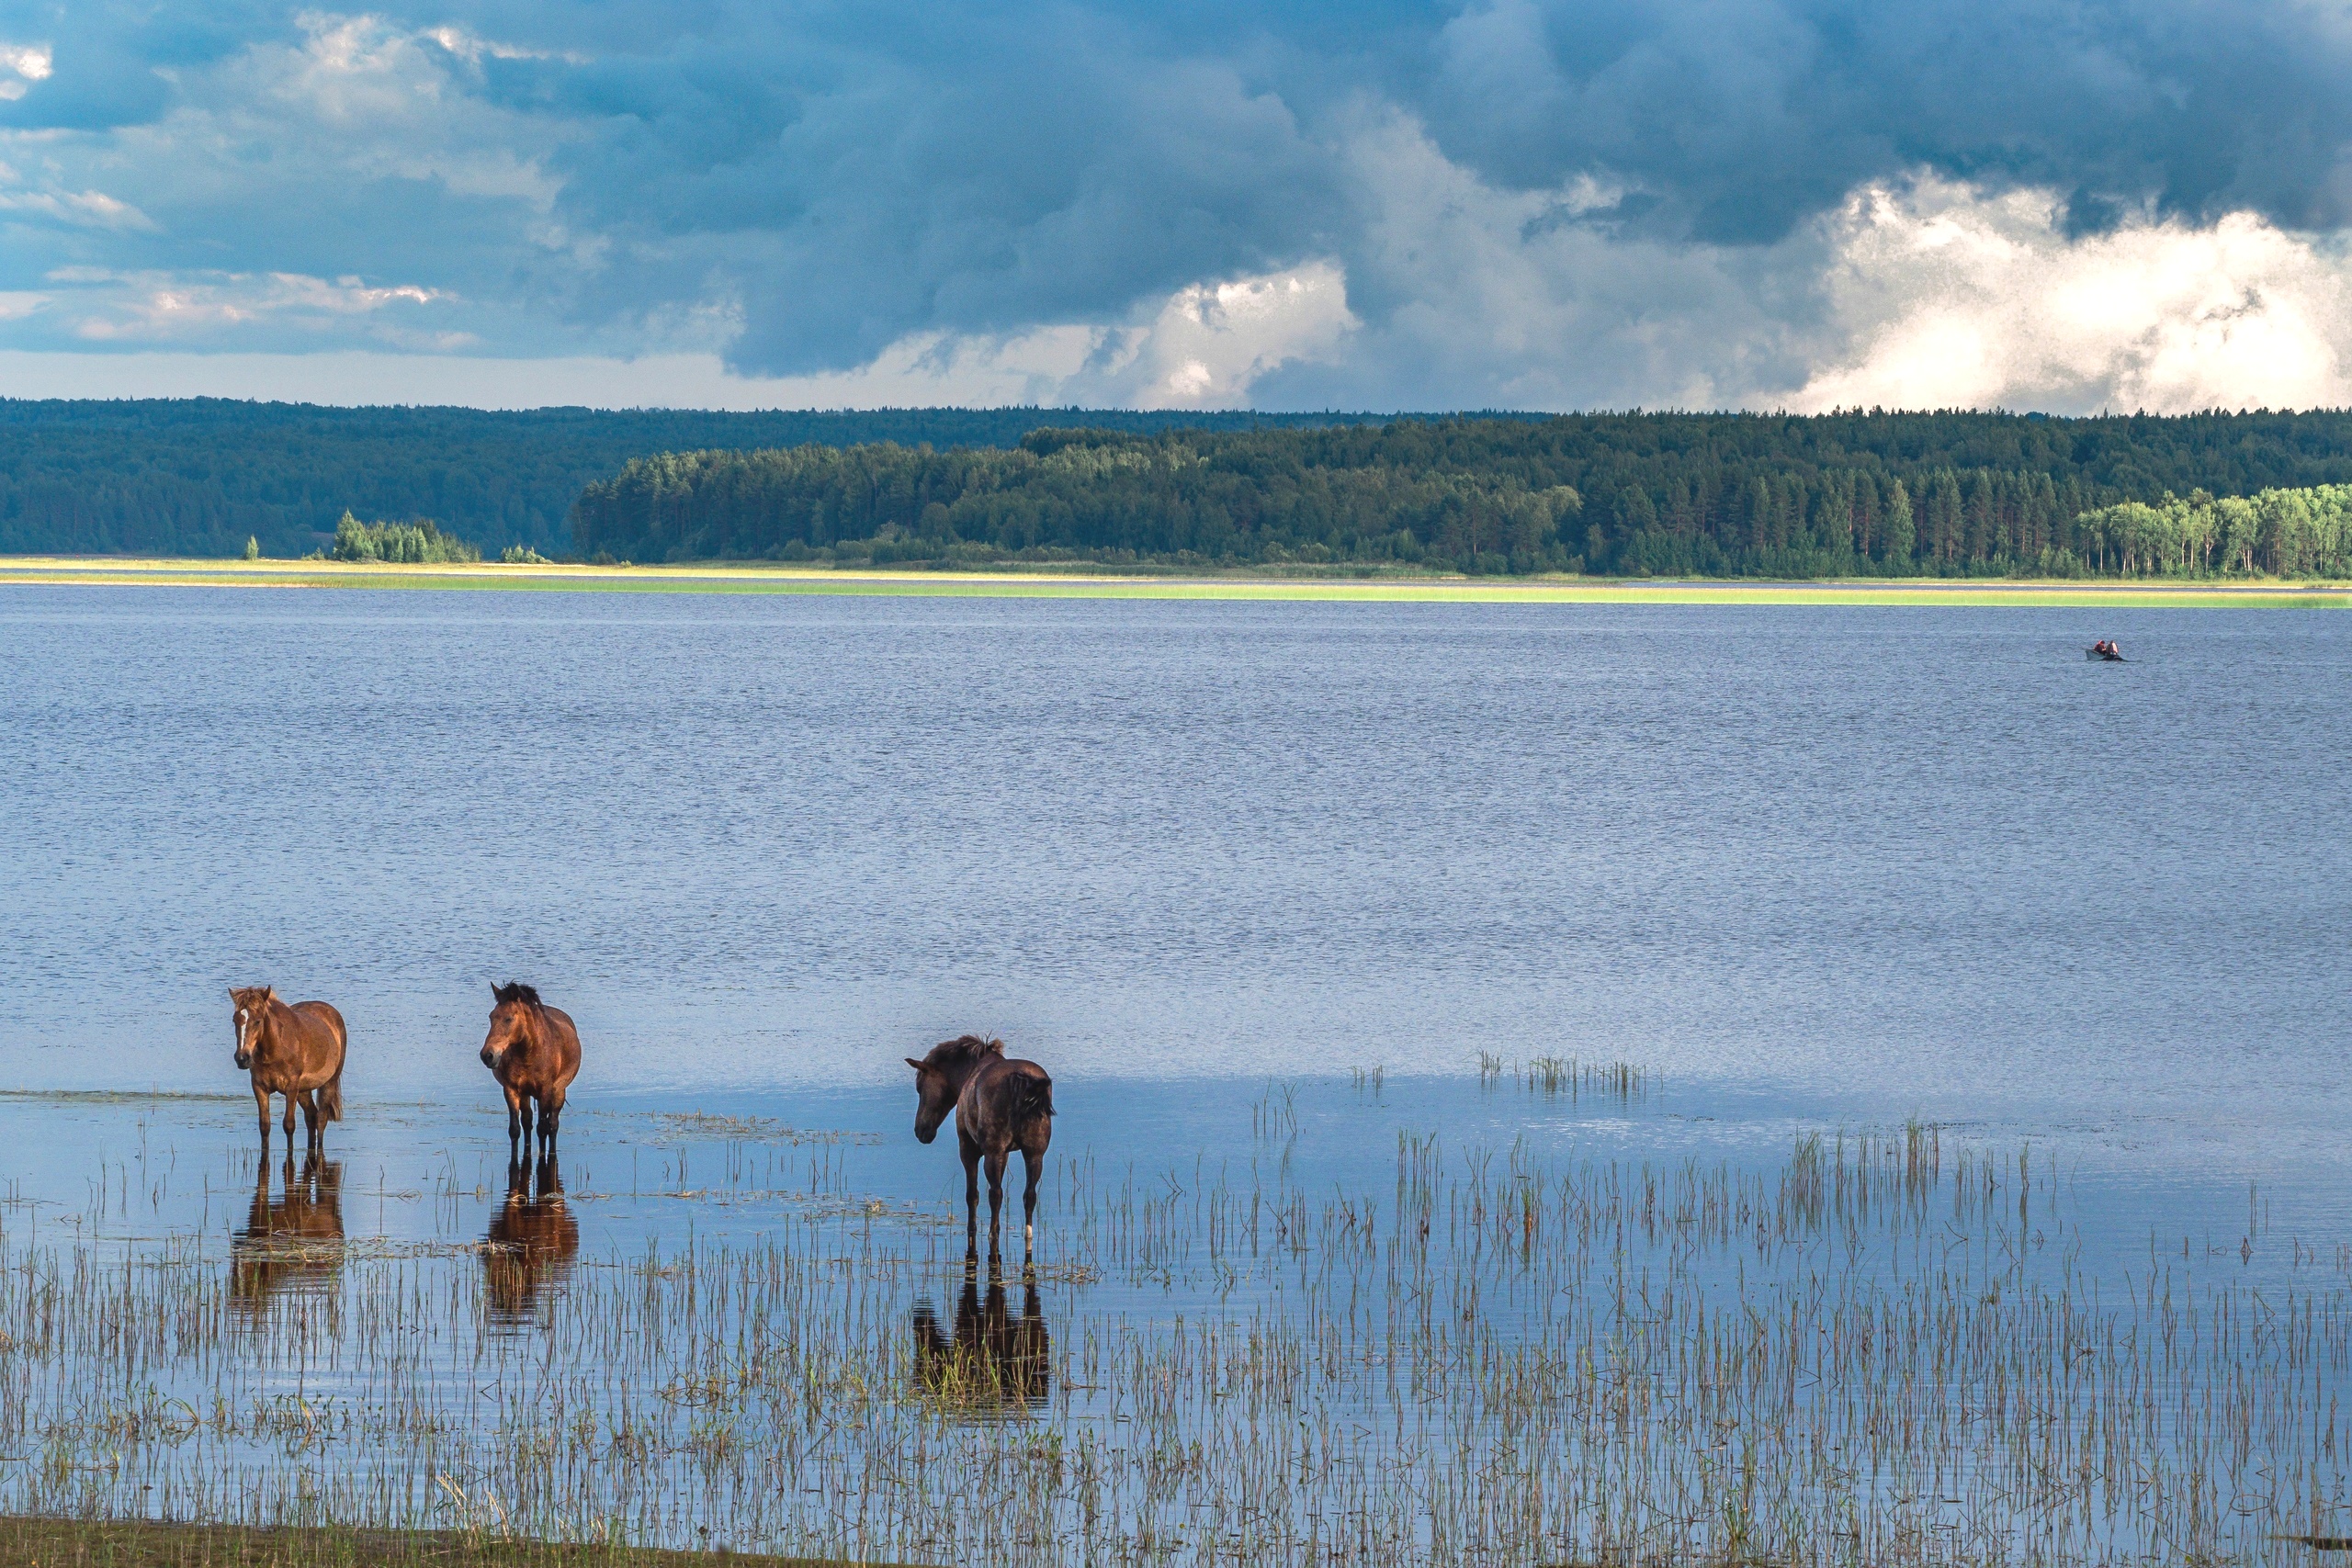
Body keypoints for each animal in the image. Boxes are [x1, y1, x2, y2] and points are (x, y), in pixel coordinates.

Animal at [227, 987, 343, 1161]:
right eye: (235, 1020)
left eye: (258, 1021)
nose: (242, 1058)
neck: (275, 1050)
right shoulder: (259, 1087)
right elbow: (264, 1126)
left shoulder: (291, 1087)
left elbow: (289, 1125)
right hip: (304, 1090)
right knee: (311, 1116)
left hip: (328, 1082)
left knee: (321, 1119)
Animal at [477, 987, 582, 1161]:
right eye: (491, 1017)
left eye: (508, 1019)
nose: (487, 1055)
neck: (529, 1053)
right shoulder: (511, 1090)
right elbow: (515, 1129)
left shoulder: (545, 1091)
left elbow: (543, 1129)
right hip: (526, 1094)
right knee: (527, 1122)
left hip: (558, 1092)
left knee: (553, 1125)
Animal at [908, 1043, 1058, 1259]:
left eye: (920, 1087)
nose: (920, 1130)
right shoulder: (1006, 1153)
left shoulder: (968, 1148)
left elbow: (972, 1195)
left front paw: (972, 1229)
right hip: (1034, 1153)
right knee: (1029, 1195)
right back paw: (1027, 1233)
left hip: (993, 1152)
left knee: (995, 1193)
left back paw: (992, 1233)